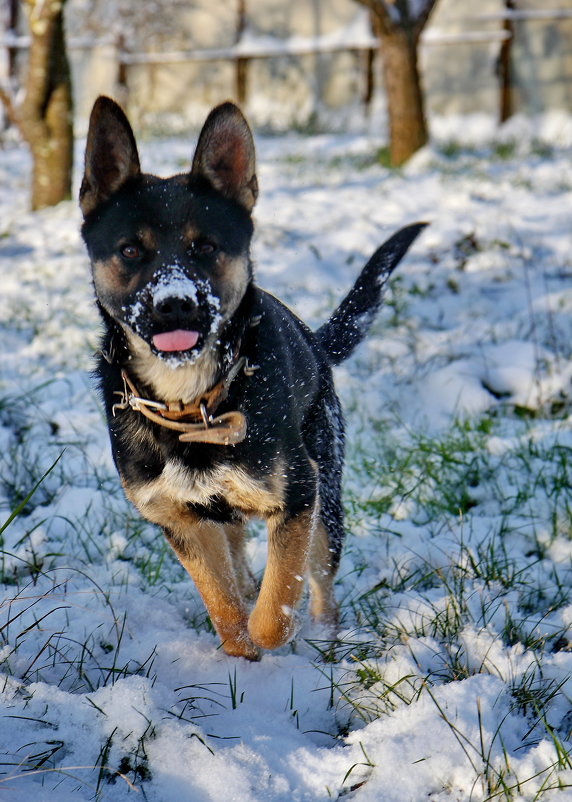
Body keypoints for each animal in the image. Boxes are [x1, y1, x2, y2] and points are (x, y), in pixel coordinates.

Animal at [80, 95, 424, 656]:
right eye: (131, 250)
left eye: (204, 247)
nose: (175, 306)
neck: (192, 402)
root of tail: (315, 345)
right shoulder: (181, 519)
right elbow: (223, 604)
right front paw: (240, 655)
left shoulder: (298, 496)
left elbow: (276, 602)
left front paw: (276, 636)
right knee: (239, 565)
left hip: (326, 493)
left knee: (320, 580)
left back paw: (325, 637)